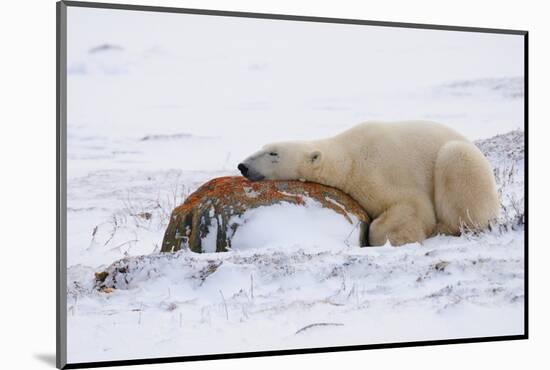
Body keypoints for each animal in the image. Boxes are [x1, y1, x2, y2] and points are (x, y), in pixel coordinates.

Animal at [237, 121, 500, 247]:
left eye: (273, 153)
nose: (243, 166)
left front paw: (397, 238)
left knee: (456, 162)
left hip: (465, 164)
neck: (348, 158)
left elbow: (413, 207)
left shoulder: (384, 170)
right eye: (262, 147)